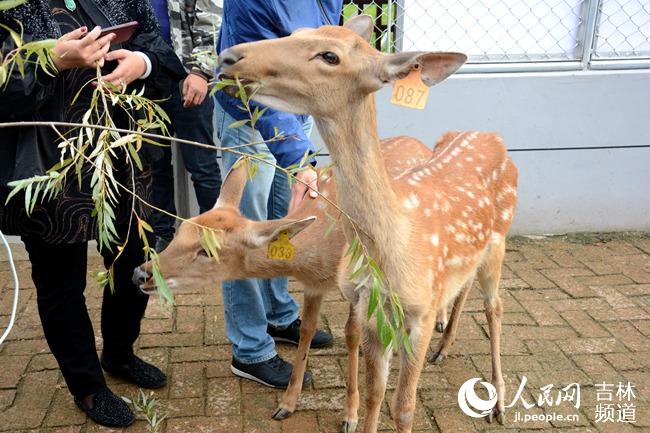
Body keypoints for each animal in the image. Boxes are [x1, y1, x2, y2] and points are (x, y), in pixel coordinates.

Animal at [210, 14, 520, 432]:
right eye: (295, 32)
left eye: (330, 56)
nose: (228, 56)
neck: (395, 245)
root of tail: (494, 137)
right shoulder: (374, 312)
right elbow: (376, 393)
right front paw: (353, 414)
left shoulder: (420, 312)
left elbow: (403, 406)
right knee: (466, 286)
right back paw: (445, 348)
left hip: (500, 242)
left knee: (496, 307)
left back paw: (499, 402)